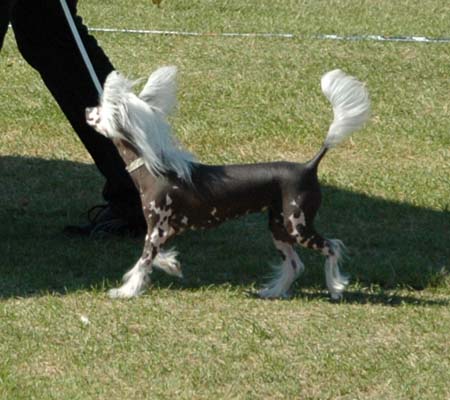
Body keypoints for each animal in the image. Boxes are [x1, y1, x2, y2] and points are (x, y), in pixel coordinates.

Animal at [86, 66, 370, 300]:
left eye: (101, 110)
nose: (87, 110)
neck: (154, 168)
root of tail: (308, 166)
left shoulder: (156, 230)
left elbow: (143, 261)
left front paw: (126, 291)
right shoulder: (163, 231)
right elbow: (155, 258)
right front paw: (172, 265)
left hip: (297, 225)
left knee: (332, 247)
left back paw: (335, 288)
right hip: (279, 227)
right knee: (294, 264)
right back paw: (273, 291)